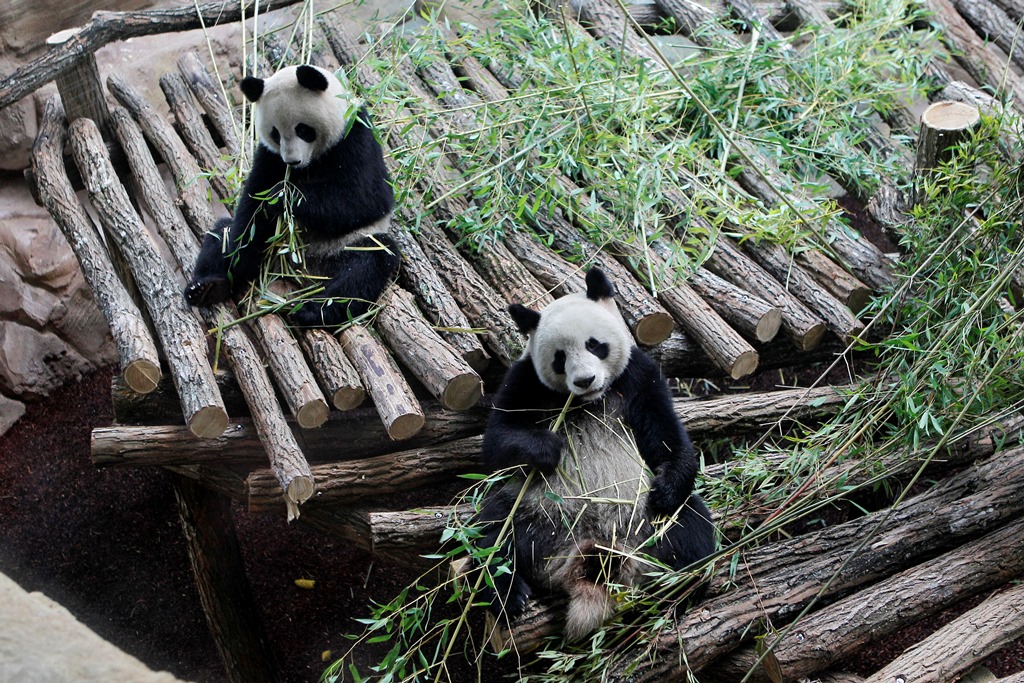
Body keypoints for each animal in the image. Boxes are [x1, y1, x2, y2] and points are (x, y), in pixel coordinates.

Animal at [184, 64, 395, 327]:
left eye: (303, 129)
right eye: (275, 133)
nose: (292, 161)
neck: (310, 162)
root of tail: (301, 274)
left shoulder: (355, 137)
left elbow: (365, 198)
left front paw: (283, 196)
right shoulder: (270, 156)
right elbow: (252, 205)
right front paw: (241, 260)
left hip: (343, 247)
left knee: (366, 266)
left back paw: (311, 311)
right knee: (222, 232)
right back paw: (207, 287)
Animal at [475, 266, 716, 643]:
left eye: (594, 344)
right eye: (559, 358)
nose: (585, 380)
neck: (589, 402)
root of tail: (591, 558)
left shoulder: (638, 375)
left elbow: (664, 435)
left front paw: (666, 488)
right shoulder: (525, 380)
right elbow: (498, 439)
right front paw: (548, 449)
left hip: (647, 523)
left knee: (692, 530)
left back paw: (679, 590)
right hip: (538, 512)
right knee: (493, 533)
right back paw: (509, 594)